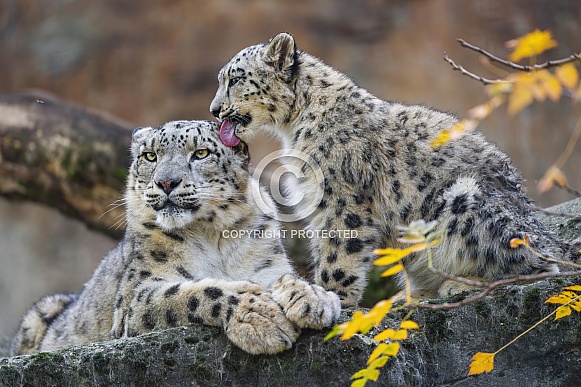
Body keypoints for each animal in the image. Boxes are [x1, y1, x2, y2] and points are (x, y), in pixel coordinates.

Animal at [10, 119, 340, 356]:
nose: (166, 182)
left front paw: (315, 298)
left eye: (201, 153)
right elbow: (194, 293)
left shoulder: (267, 267)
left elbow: (284, 277)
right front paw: (260, 317)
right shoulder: (135, 299)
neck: (213, 237)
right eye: (149, 156)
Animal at [210, 31, 580, 308]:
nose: (214, 109)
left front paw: (332, 297)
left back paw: (460, 285)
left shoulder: (342, 200)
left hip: (469, 202)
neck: (294, 126)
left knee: (539, 264)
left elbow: (337, 254)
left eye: (235, 78)